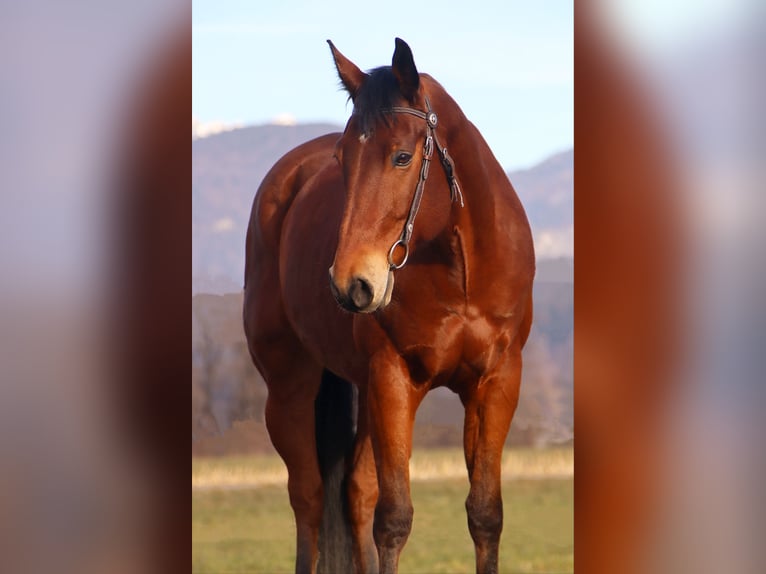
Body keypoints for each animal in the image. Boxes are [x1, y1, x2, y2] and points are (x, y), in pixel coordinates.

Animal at [243, 39, 536, 574]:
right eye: (342, 159)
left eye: (402, 157)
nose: (350, 283)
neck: (459, 272)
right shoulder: (392, 379)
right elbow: (395, 518)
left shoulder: (496, 382)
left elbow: (485, 514)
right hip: (290, 389)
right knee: (308, 498)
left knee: (355, 493)